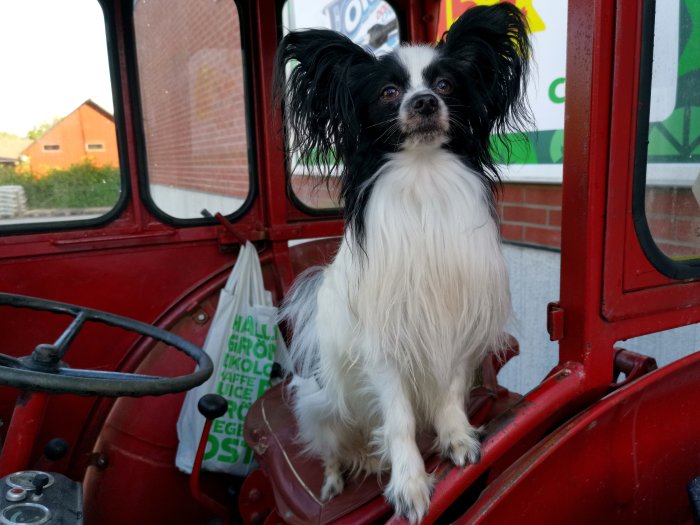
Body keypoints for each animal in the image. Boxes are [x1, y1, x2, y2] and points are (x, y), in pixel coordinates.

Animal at [274, 4, 532, 520]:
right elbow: (399, 420)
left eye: (446, 85)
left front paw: (457, 438)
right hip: (322, 406)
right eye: (389, 92)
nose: (425, 102)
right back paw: (336, 479)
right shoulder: (384, 344)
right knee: (332, 448)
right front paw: (409, 483)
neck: (423, 178)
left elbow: (450, 392)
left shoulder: (454, 325)